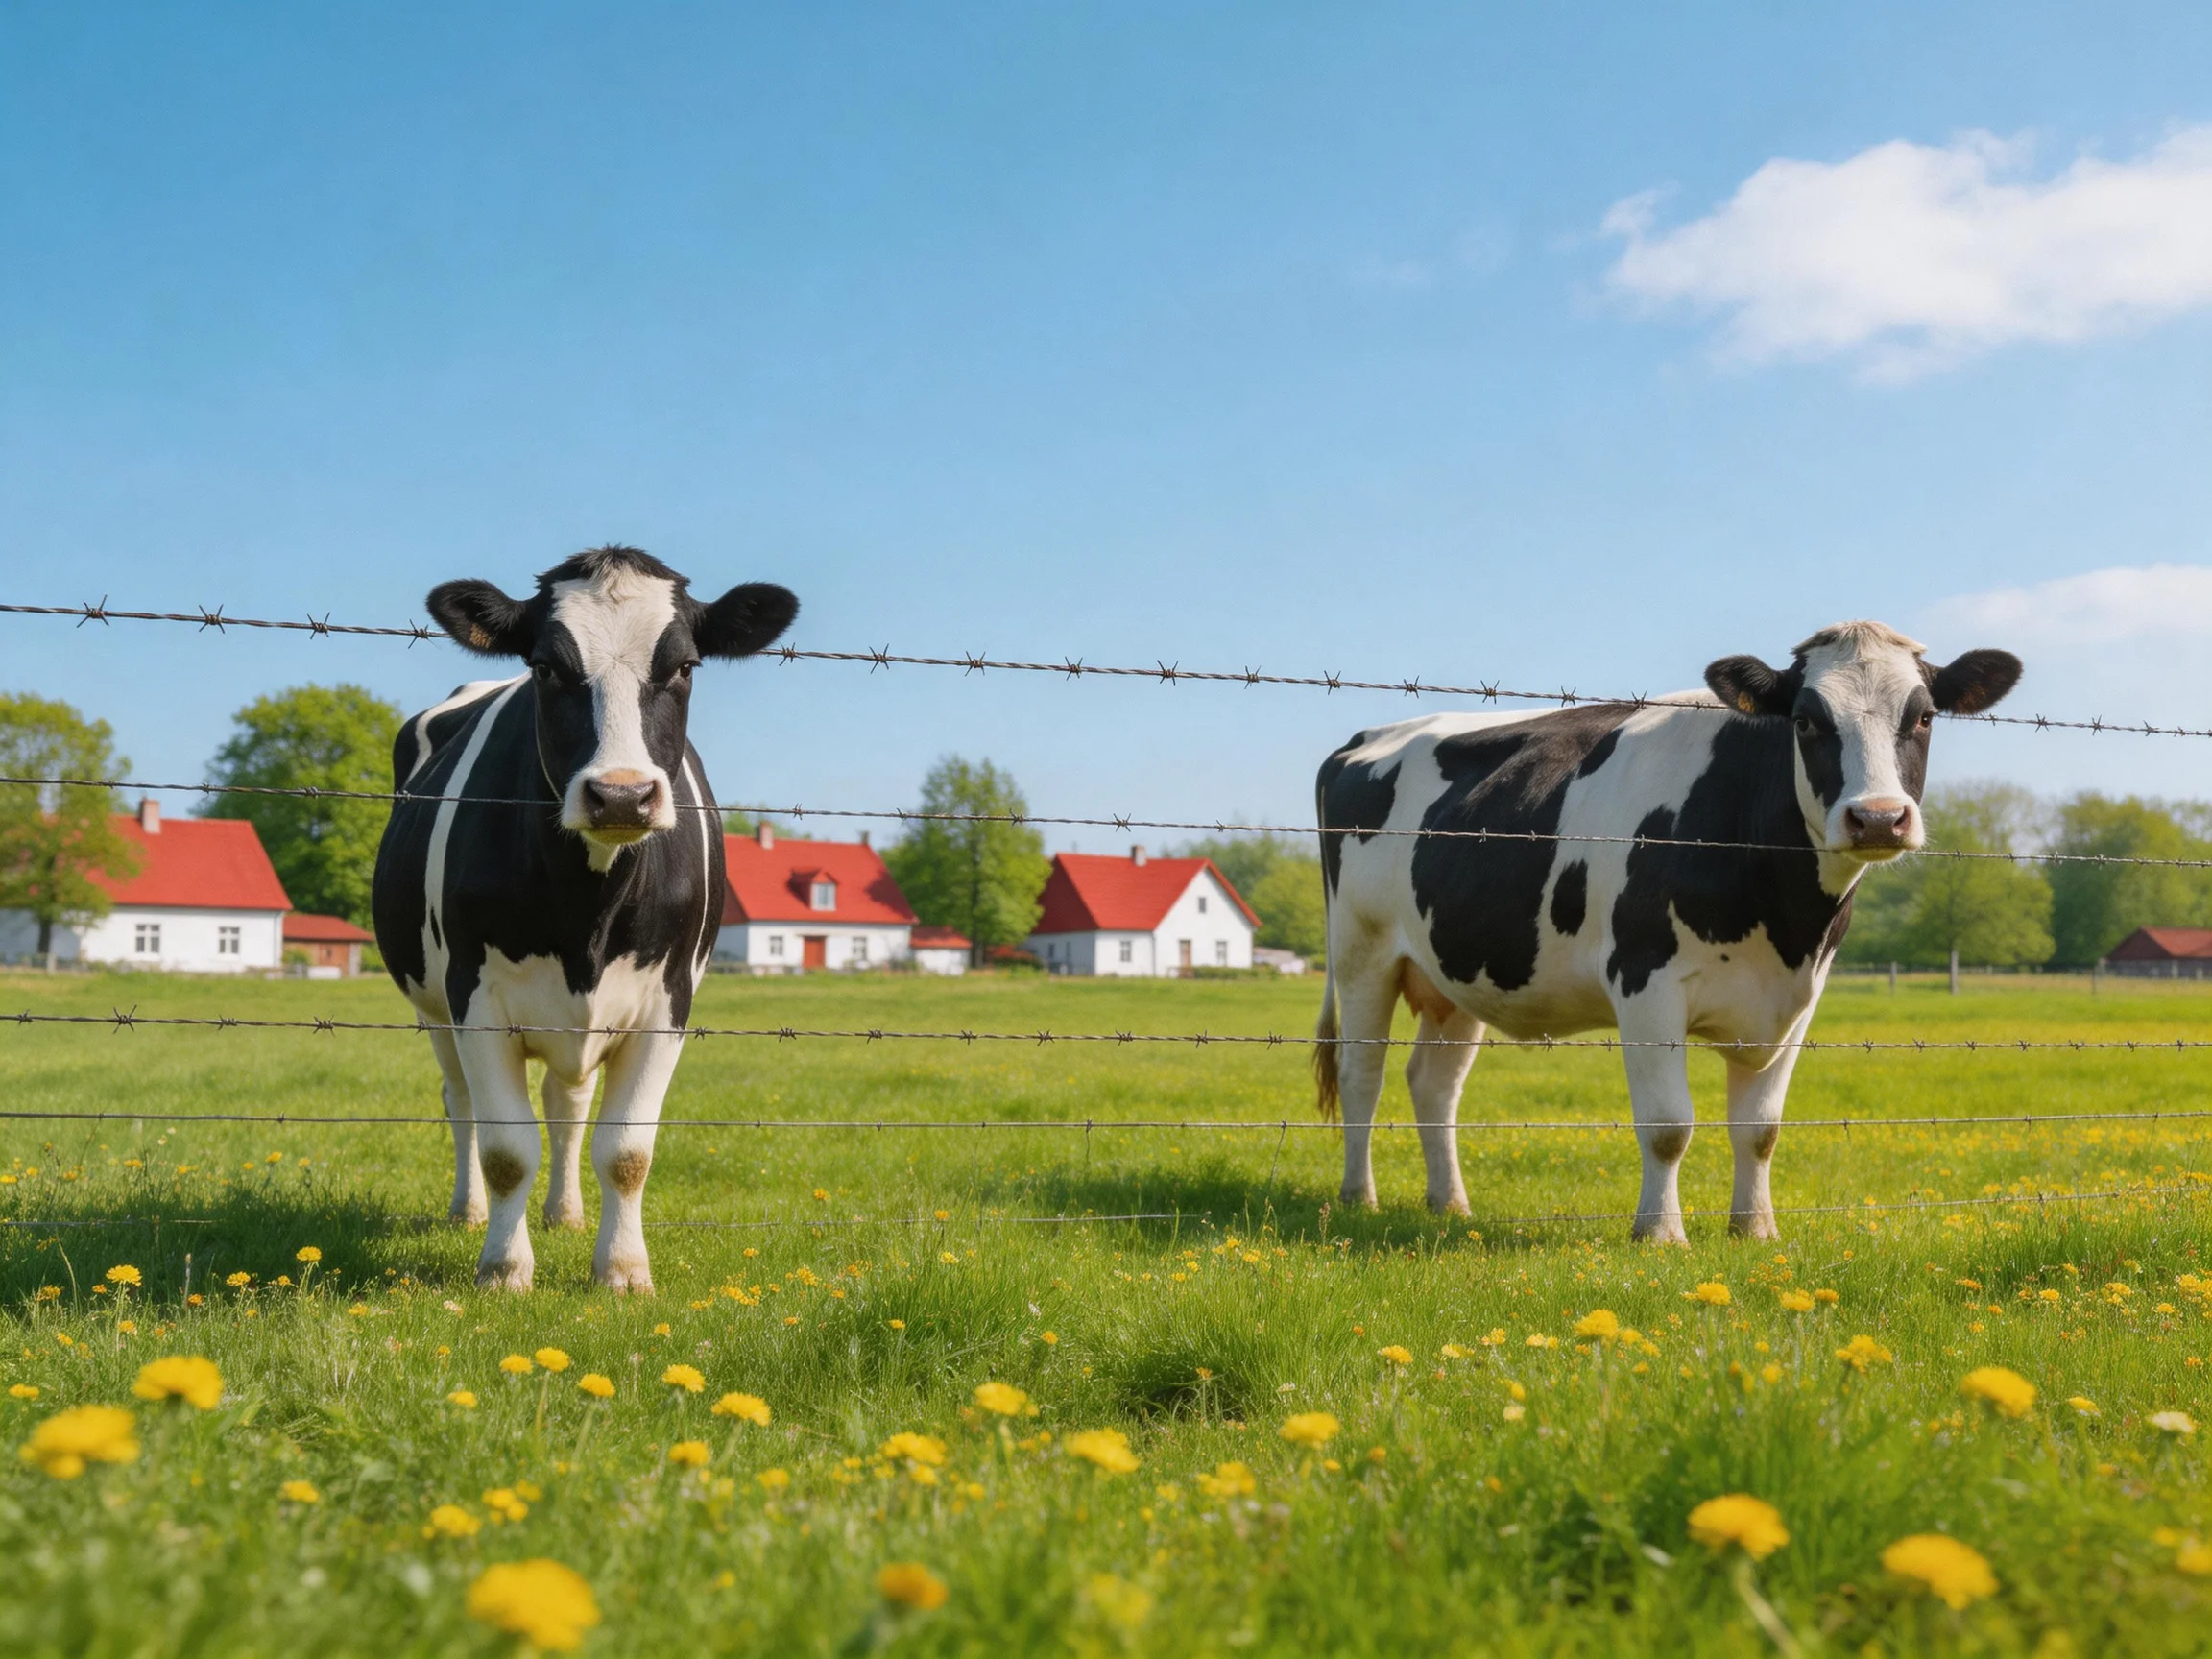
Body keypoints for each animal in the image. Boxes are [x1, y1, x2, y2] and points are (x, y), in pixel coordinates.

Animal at [372, 546, 797, 1292]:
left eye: (686, 666)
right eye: (546, 666)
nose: (621, 795)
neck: (587, 916)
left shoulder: (667, 1002)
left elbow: (626, 1150)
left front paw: (623, 1270)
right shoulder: (474, 998)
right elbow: (507, 1148)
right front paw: (504, 1269)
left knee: (567, 1108)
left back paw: (565, 1213)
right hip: (432, 1006)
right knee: (462, 1104)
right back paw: (468, 1212)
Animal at [1311, 621, 2021, 1242]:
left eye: (1924, 717)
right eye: (1805, 720)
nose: (1876, 818)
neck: (1781, 913)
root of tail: (1368, 735)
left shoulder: (1799, 999)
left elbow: (1761, 1129)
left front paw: (1755, 1229)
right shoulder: (1644, 980)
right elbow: (1668, 1124)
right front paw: (1658, 1233)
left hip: (1455, 974)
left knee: (1434, 1084)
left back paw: (1449, 1203)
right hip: (1361, 952)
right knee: (1361, 1071)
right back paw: (1358, 1196)